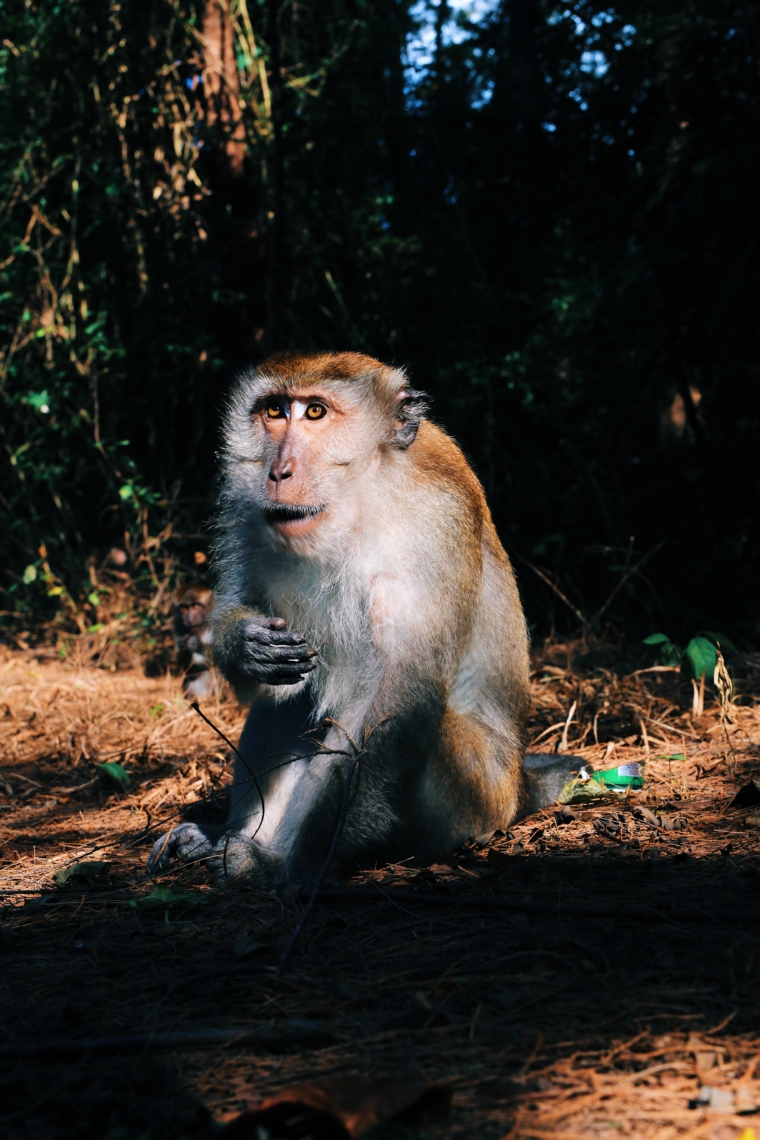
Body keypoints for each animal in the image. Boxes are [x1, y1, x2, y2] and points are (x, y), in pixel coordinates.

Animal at [150, 351, 576, 884]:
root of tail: (518, 785)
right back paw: (226, 839)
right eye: (274, 411)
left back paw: (266, 857)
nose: (279, 472)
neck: (363, 495)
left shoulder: (432, 525)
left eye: (315, 412)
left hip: (473, 797)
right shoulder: (250, 513)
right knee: (290, 699)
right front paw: (246, 644)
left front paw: (299, 866)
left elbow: (397, 698)